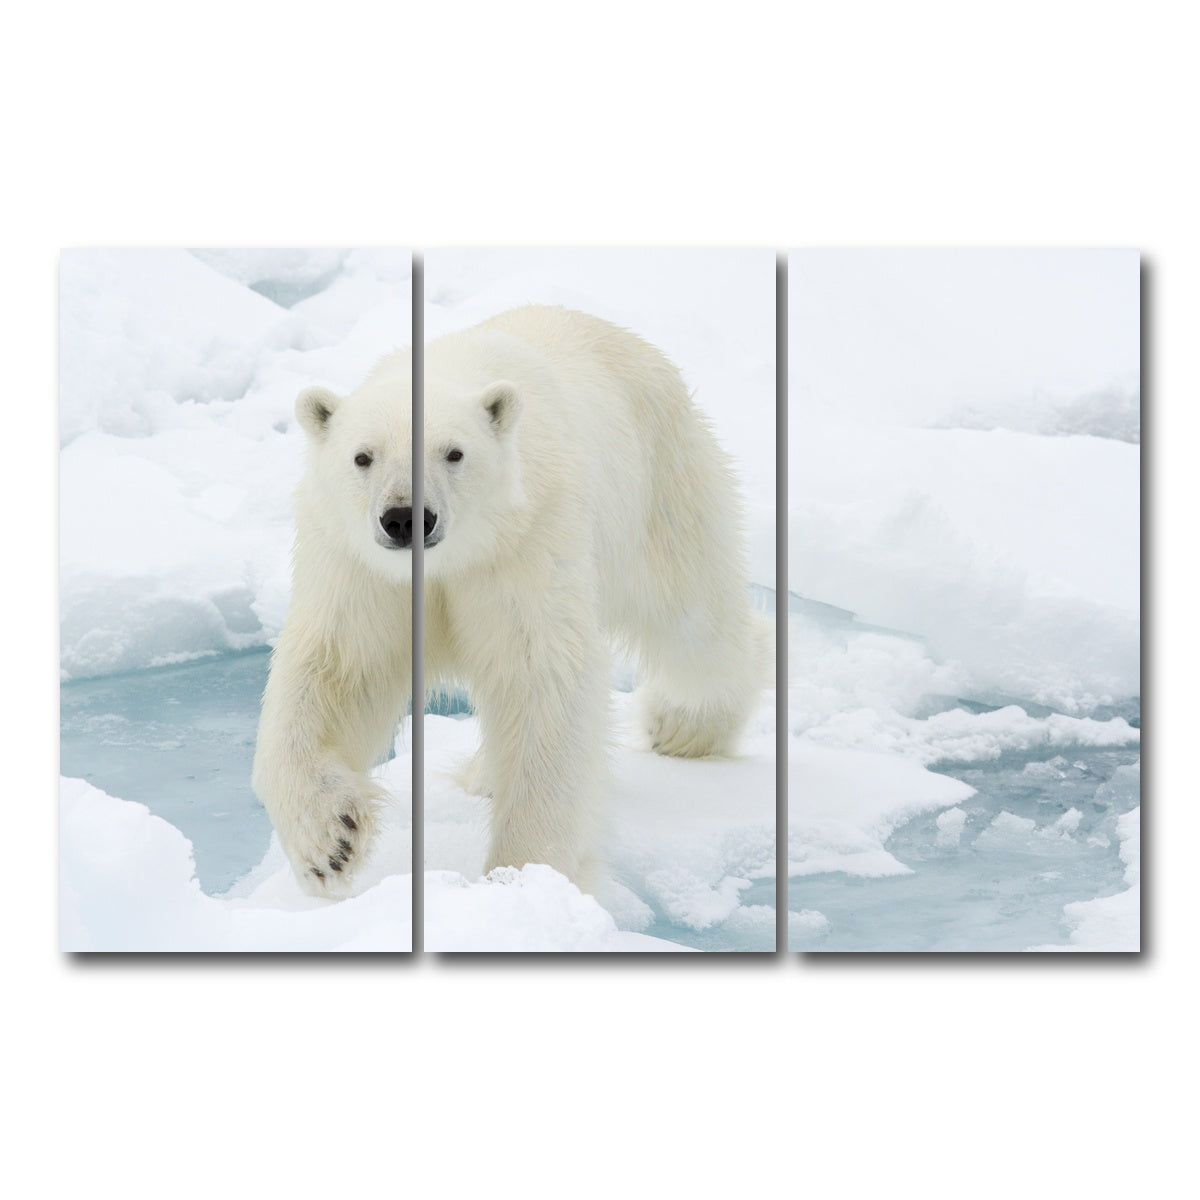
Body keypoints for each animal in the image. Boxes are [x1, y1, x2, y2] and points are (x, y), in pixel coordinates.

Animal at [254, 305, 768, 896]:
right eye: (363, 457)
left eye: (454, 452)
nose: (406, 518)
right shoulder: (359, 567)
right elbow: (336, 669)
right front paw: (330, 842)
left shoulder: (525, 540)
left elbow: (540, 675)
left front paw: (524, 874)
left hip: (659, 483)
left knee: (692, 619)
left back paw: (684, 727)